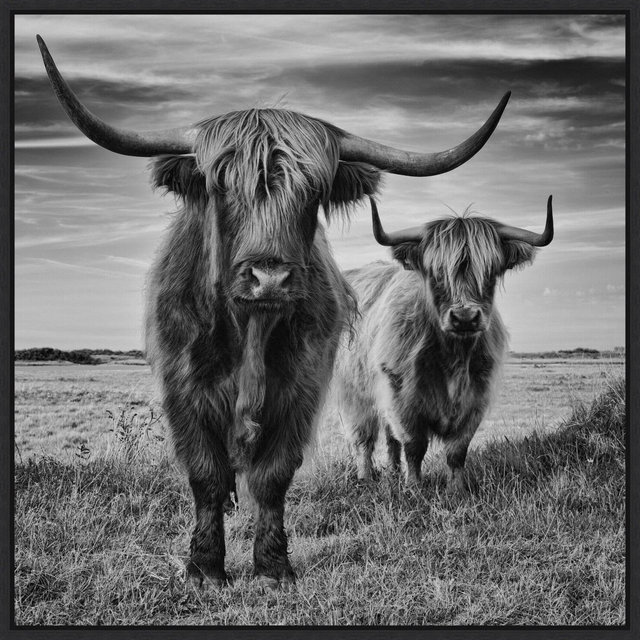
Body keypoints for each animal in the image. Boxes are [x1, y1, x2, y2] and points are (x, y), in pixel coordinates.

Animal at [37, 34, 510, 588]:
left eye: (313, 192)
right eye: (222, 186)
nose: (269, 278)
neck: (250, 331)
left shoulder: (302, 388)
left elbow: (273, 475)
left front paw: (272, 567)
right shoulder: (182, 390)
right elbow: (206, 474)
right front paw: (204, 568)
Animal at [333, 196, 553, 494]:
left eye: (490, 272)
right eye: (436, 273)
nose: (465, 317)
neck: (453, 357)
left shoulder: (476, 397)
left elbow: (457, 450)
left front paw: (456, 490)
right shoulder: (401, 396)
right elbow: (414, 445)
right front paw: (414, 488)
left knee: (390, 439)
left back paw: (393, 473)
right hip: (355, 393)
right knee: (363, 438)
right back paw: (366, 477)